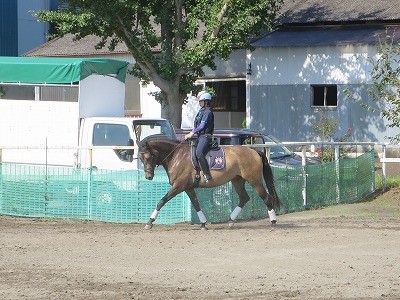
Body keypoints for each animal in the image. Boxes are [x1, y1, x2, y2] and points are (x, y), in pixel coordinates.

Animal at [138, 138, 282, 230]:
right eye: (140, 158)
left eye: (148, 157)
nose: (148, 176)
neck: (176, 156)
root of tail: (254, 151)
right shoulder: (188, 188)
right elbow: (196, 205)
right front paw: (203, 223)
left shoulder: (178, 186)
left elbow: (161, 201)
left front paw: (150, 222)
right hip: (237, 180)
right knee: (244, 198)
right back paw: (231, 221)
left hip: (254, 180)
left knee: (267, 198)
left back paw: (273, 222)